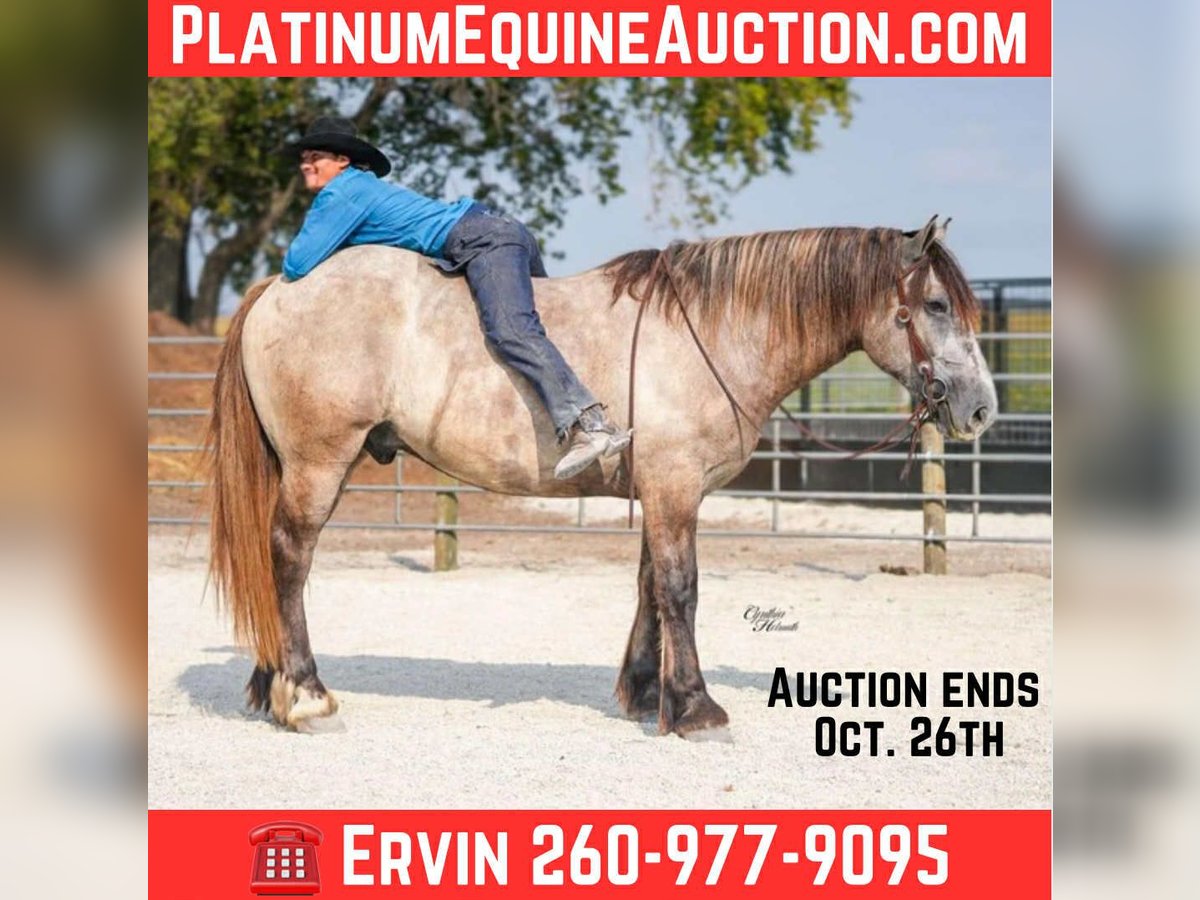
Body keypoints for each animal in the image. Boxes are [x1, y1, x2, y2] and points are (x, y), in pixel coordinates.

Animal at [206, 214, 996, 737]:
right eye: (934, 305)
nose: (981, 408)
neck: (712, 330)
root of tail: (278, 289)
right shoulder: (675, 488)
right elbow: (681, 589)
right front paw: (697, 707)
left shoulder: (664, 492)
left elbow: (650, 589)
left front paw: (650, 695)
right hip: (319, 462)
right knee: (289, 557)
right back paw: (306, 694)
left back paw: (270, 686)